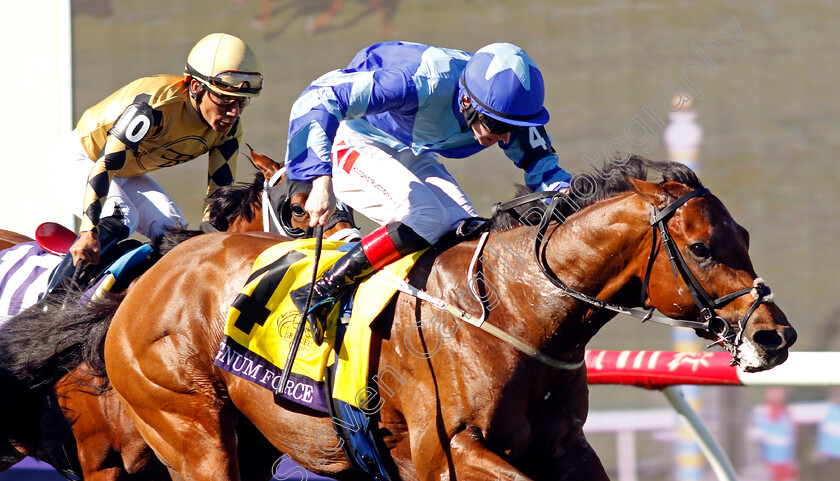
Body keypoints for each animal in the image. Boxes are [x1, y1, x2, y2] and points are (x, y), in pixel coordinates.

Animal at [88, 156, 796, 478]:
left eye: (745, 237)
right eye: (702, 248)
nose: (775, 335)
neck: (514, 310)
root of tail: (153, 272)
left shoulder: (564, 447)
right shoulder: (449, 450)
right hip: (192, 430)